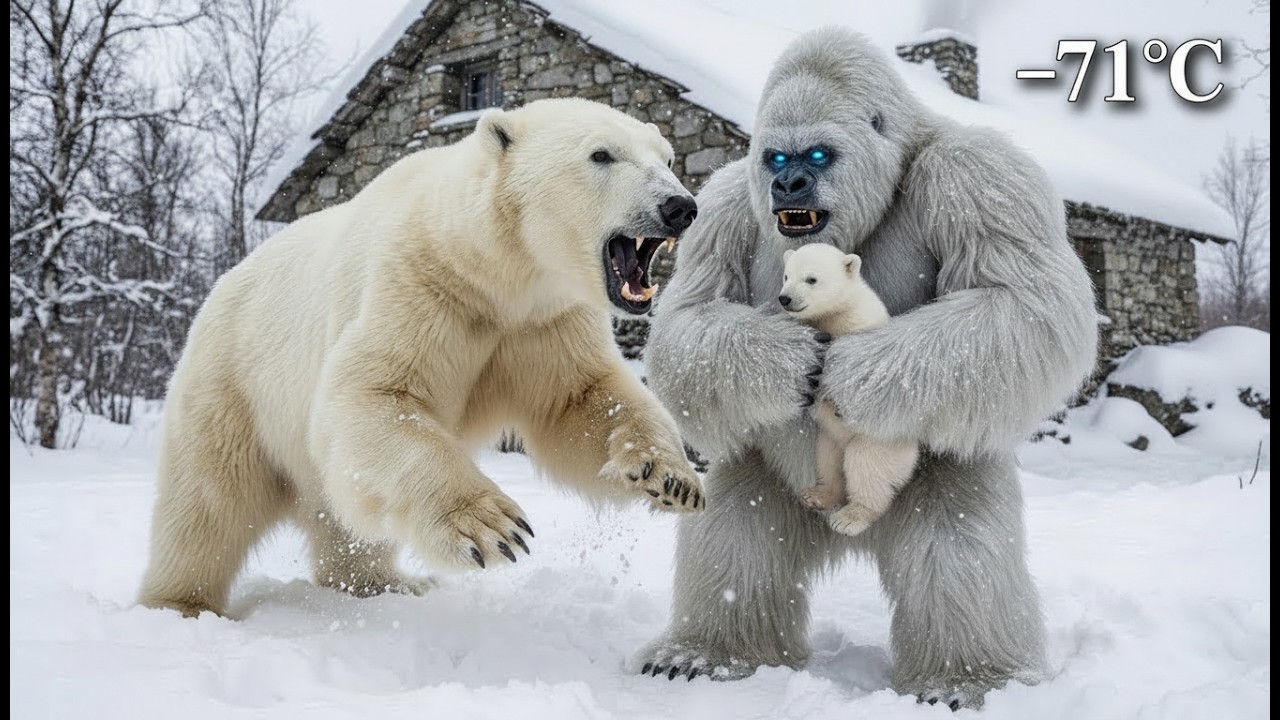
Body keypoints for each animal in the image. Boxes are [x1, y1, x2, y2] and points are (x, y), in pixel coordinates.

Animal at [138, 98, 706, 619]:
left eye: (667, 157)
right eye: (601, 154)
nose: (679, 206)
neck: (490, 272)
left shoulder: (542, 322)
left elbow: (580, 399)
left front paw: (669, 474)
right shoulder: (419, 286)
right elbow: (373, 395)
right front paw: (494, 526)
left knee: (339, 514)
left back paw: (385, 583)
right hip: (234, 383)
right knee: (208, 503)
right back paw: (181, 603)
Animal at [777, 243, 919, 537]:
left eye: (811, 279)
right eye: (786, 275)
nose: (785, 299)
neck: (835, 314)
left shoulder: (860, 323)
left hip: (882, 443)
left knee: (866, 466)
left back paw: (851, 517)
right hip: (829, 438)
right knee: (827, 460)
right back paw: (817, 495)